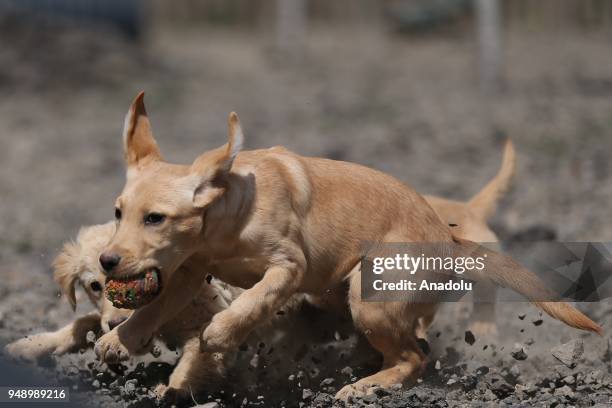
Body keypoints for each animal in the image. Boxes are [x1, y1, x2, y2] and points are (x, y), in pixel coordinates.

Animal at [94, 91, 604, 398]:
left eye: (156, 218)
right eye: (118, 211)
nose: (107, 261)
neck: (229, 211)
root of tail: (449, 237)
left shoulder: (289, 267)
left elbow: (254, 300)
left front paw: (219, 332)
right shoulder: (187, 269)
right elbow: (155, 307)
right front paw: (120, 340)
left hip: (370, 289)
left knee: (414, 358)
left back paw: (363, 388)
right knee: (409, 346)